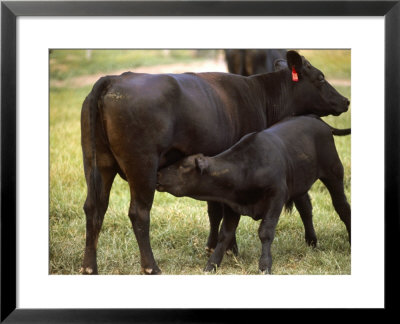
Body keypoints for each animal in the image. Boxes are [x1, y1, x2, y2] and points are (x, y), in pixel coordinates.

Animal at [156, 116, 350, 274]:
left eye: (183, 166)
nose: (158, 173)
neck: (246, 169)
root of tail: (316, 119)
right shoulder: (232, 204)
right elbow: (224, 235)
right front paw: (212, 265)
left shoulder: (276, 197)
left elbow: (265, 232)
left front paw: (265, 265)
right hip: (299, 183)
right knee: (306, 209)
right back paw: (311, 242)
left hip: (334, 172)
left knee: (342, 207)